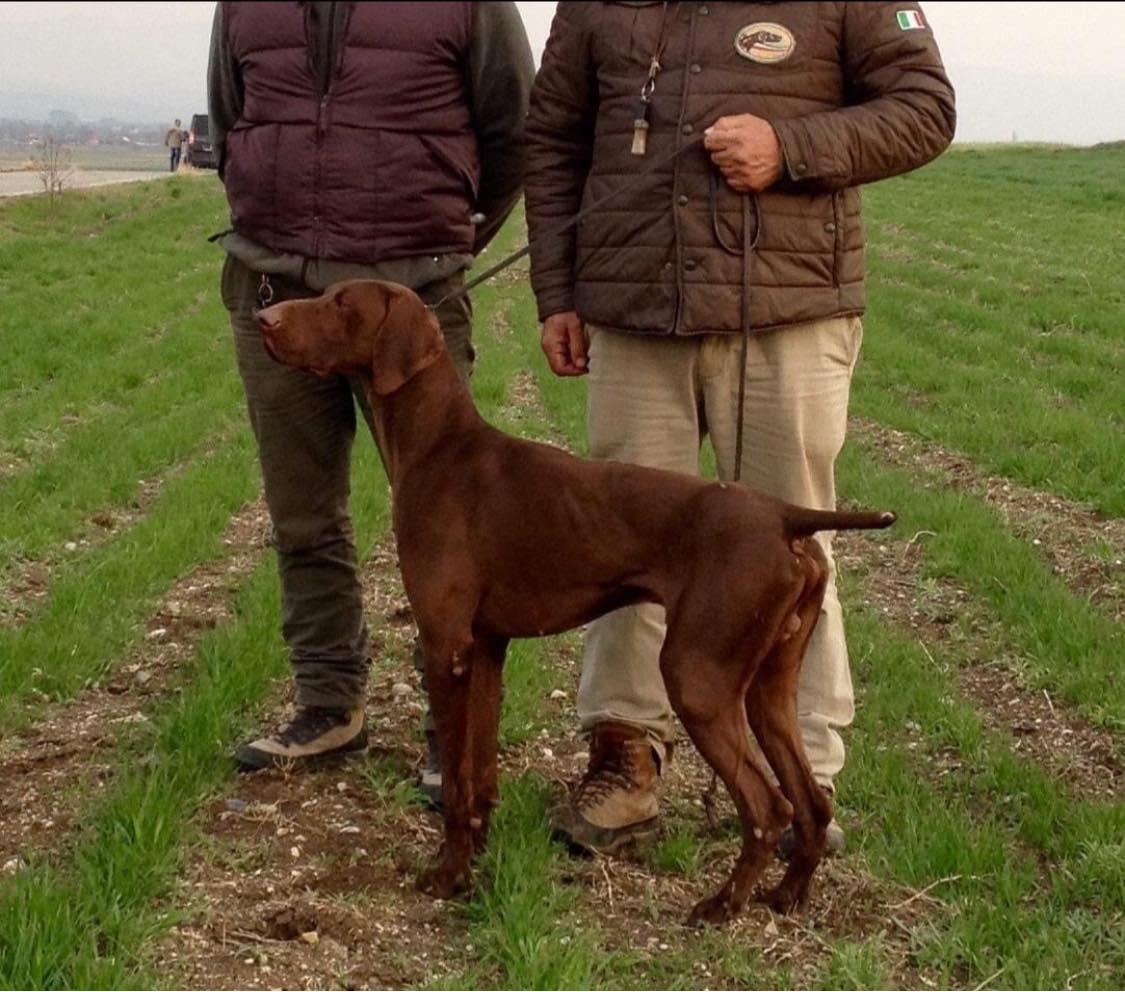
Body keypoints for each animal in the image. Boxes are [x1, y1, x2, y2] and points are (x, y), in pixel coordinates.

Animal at [257, 276, 895, 922]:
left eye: (341, 303)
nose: (265, 317)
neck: (440, 447)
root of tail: (787, 517)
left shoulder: (446, 646)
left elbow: (457, 782)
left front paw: (449, 875)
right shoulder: (487, 647)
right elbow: (480, 774)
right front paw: (477, 853)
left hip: (698, 677)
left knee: (769, 808)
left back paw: (721, 906)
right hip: (769, 685)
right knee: (810, 803)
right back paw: (787, 895)